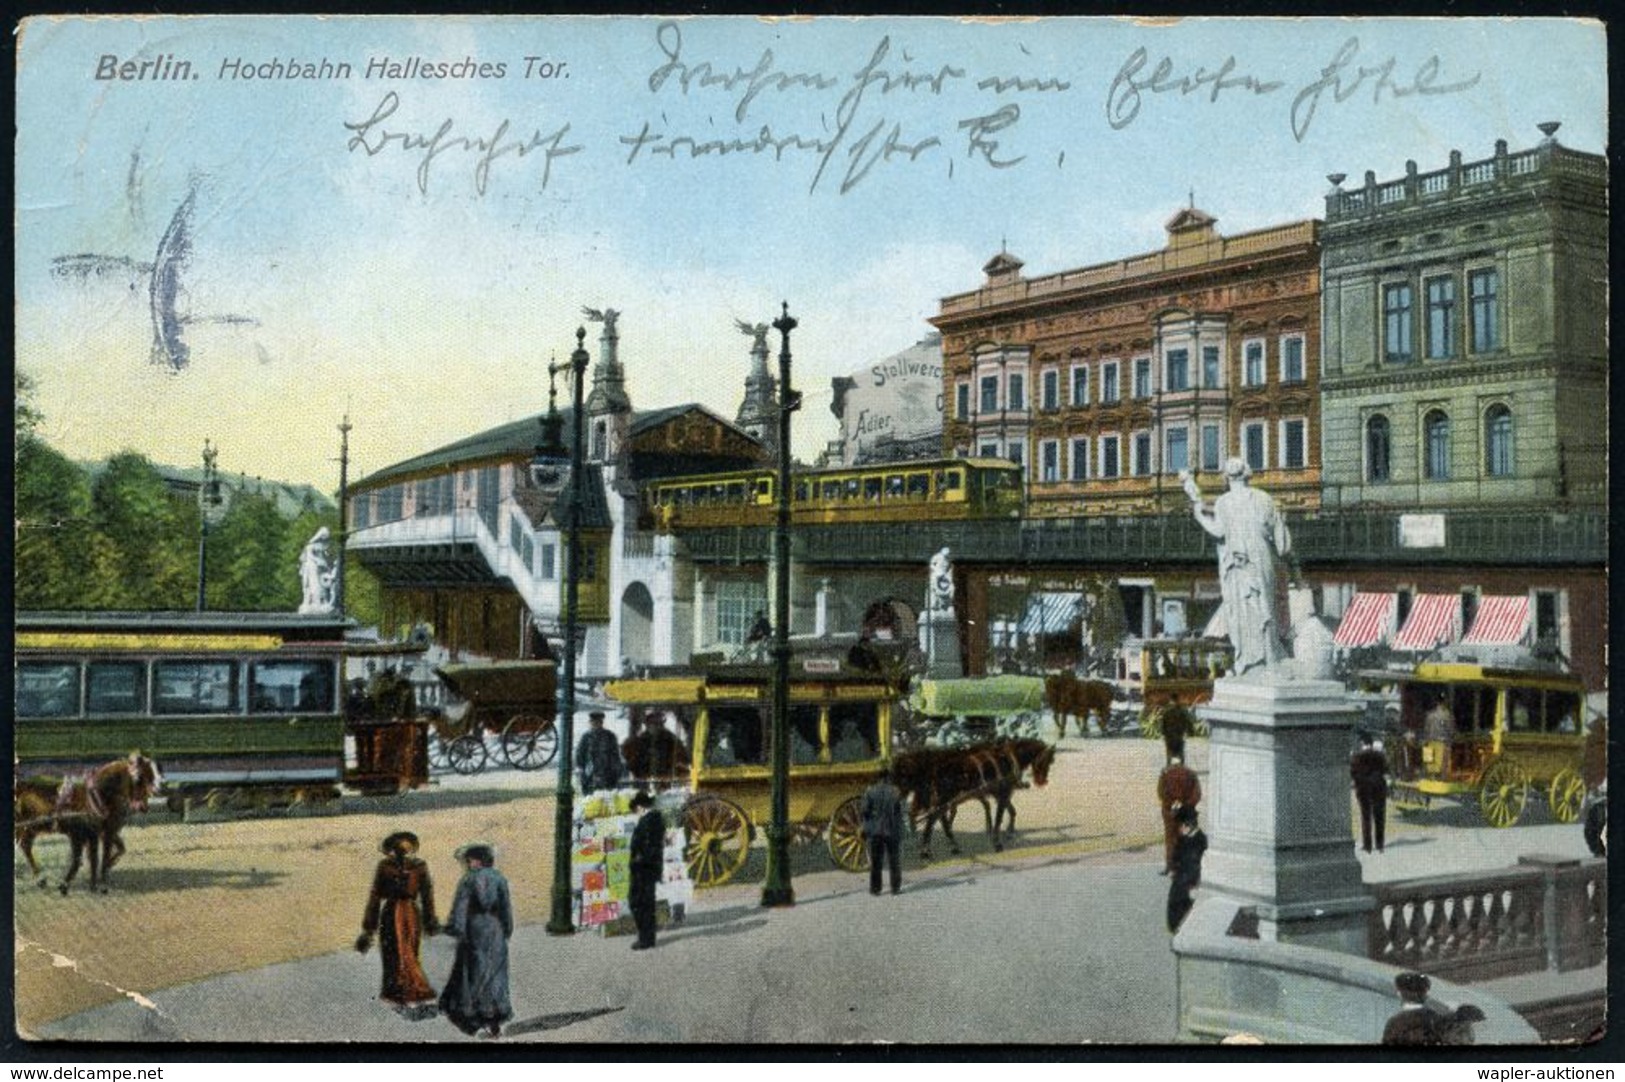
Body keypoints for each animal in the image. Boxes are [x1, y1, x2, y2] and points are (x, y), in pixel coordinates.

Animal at [15, 750, 162, 890]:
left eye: (152, 776)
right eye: (138, 778)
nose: (143, 807)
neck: (99, 796)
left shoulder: (101, 832)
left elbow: (115, 850)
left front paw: (99, 876)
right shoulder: (86, 834)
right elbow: (92, 857)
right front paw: (93, 881)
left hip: (30, 829)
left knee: (25, 846)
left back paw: (40, 880)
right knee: (24, 846)